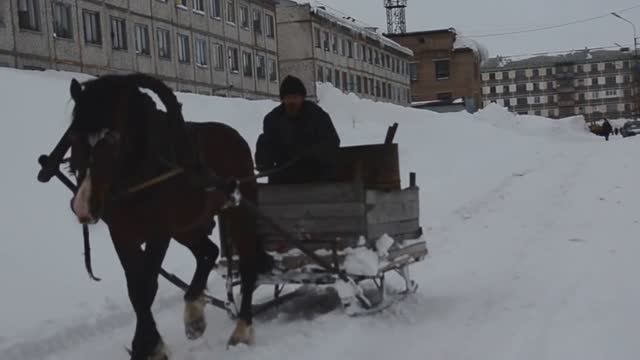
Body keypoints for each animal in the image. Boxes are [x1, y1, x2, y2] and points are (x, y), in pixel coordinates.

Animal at [63, 74, 268, 358]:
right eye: (73, 137)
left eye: (112, 139)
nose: (83, 206)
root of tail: (232, 136)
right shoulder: (122, 234)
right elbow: (136, 289)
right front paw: (151, 344)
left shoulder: (158, 233)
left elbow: (146, 287)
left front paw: (146, 346)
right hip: (186, 227)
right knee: (209, 252)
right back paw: (194, 313)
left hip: (237, 213)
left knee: (247, 264)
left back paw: (242, 329)